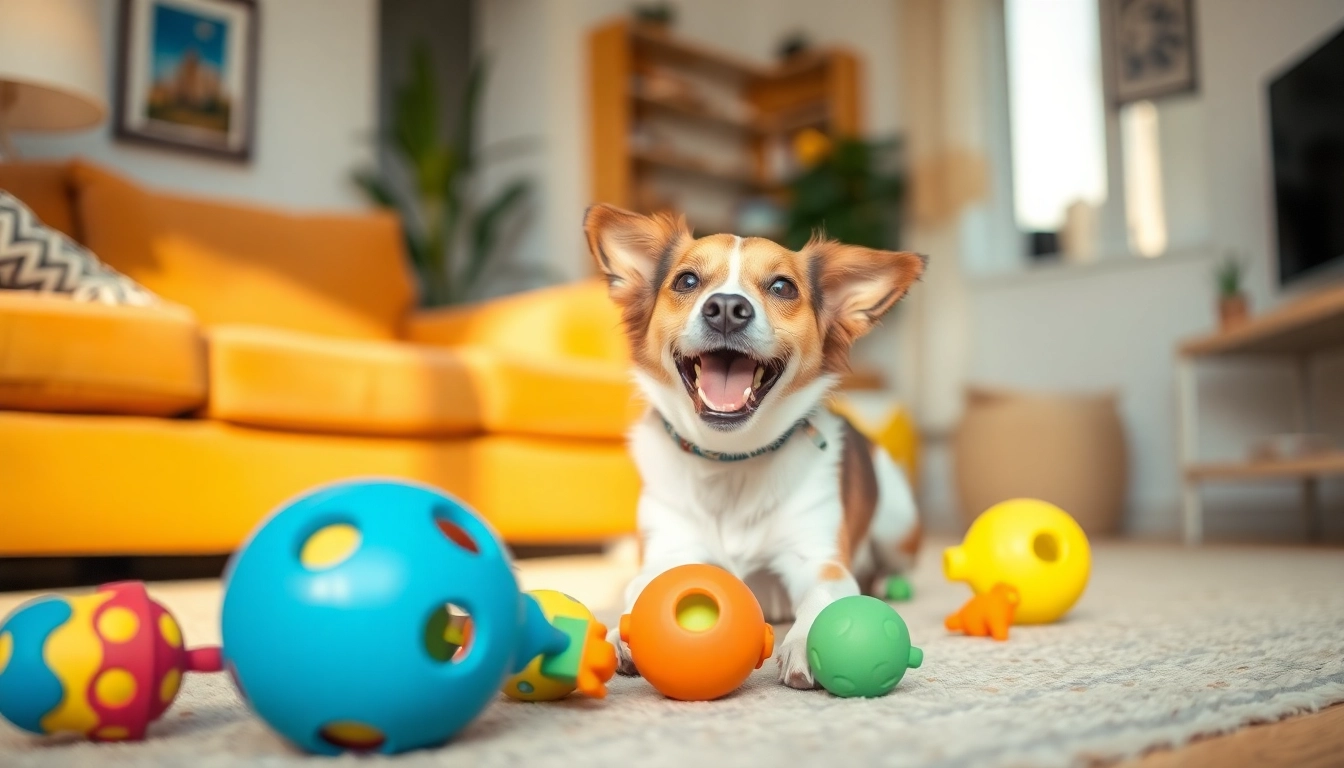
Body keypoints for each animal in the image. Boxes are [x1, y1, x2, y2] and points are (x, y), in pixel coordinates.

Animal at [583, 204, 930, 688]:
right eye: (686, 280)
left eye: (782, 287)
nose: (727, 308)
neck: (730, 460)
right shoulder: (670, 551)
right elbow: (644, 585)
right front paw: (620, 631)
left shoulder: (818, 560)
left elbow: (823, 596)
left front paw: (805, 641)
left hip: (897, 523)